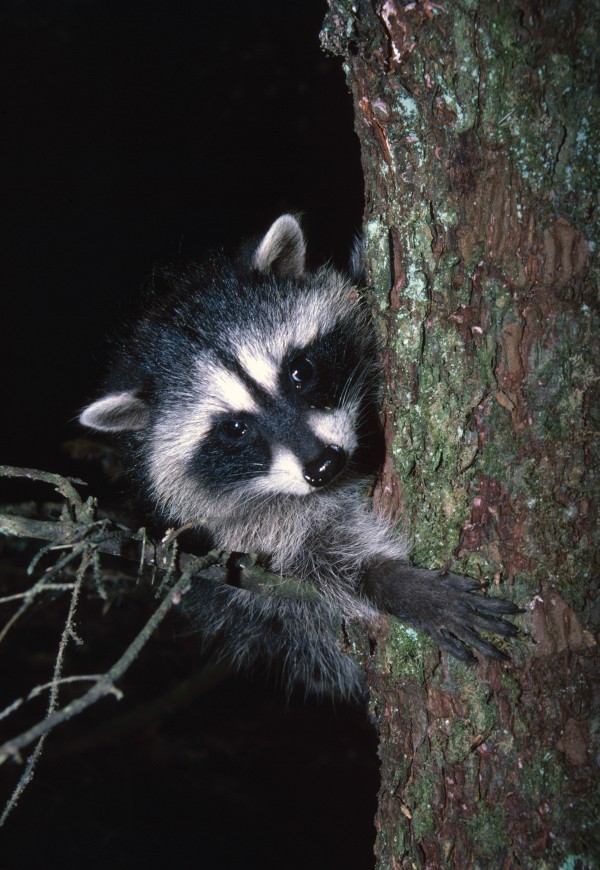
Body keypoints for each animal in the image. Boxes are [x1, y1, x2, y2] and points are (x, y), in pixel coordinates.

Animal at [80, 214, 519, 697]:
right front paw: (388, 581)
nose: (324, 465)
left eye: (301, 371)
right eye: (235, 429)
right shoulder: (238, 532)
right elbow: (311, 570)